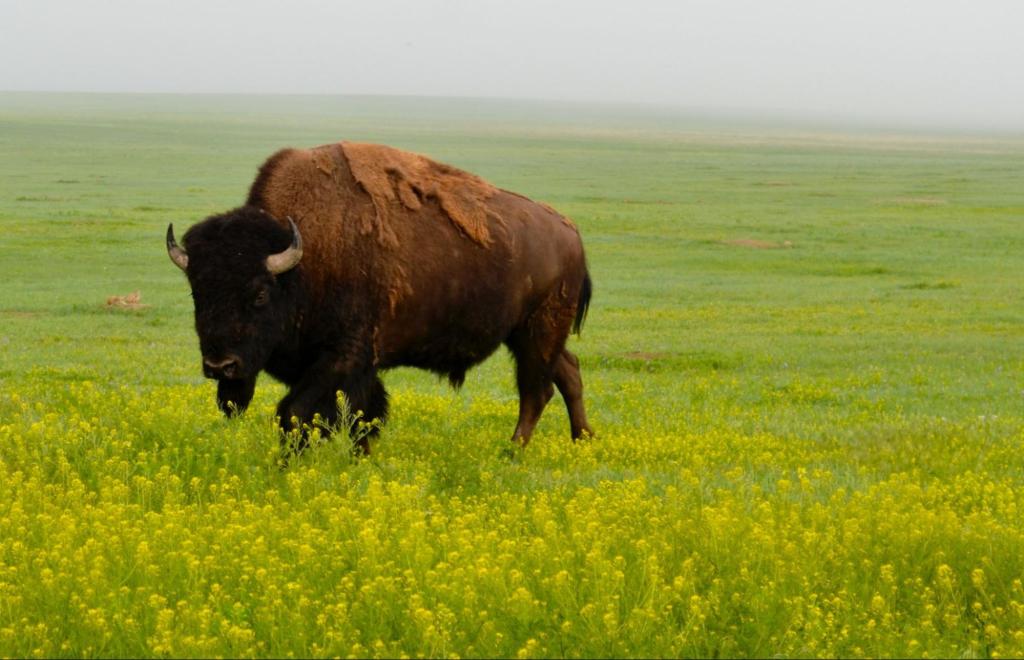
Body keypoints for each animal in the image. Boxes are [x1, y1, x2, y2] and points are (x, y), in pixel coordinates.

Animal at [167, 141, 593, 452]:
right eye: (196, 292)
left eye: (258, 294)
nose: (220, 366)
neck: (304, 262)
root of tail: (570, 232)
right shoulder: (355, 368)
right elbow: (365, 414)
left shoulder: (342, 359)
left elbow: (298, 414)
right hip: (527, 335)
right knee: (568, 372)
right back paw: (582, 441)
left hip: (538, 332)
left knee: (536, 391)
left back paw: (513, 451)